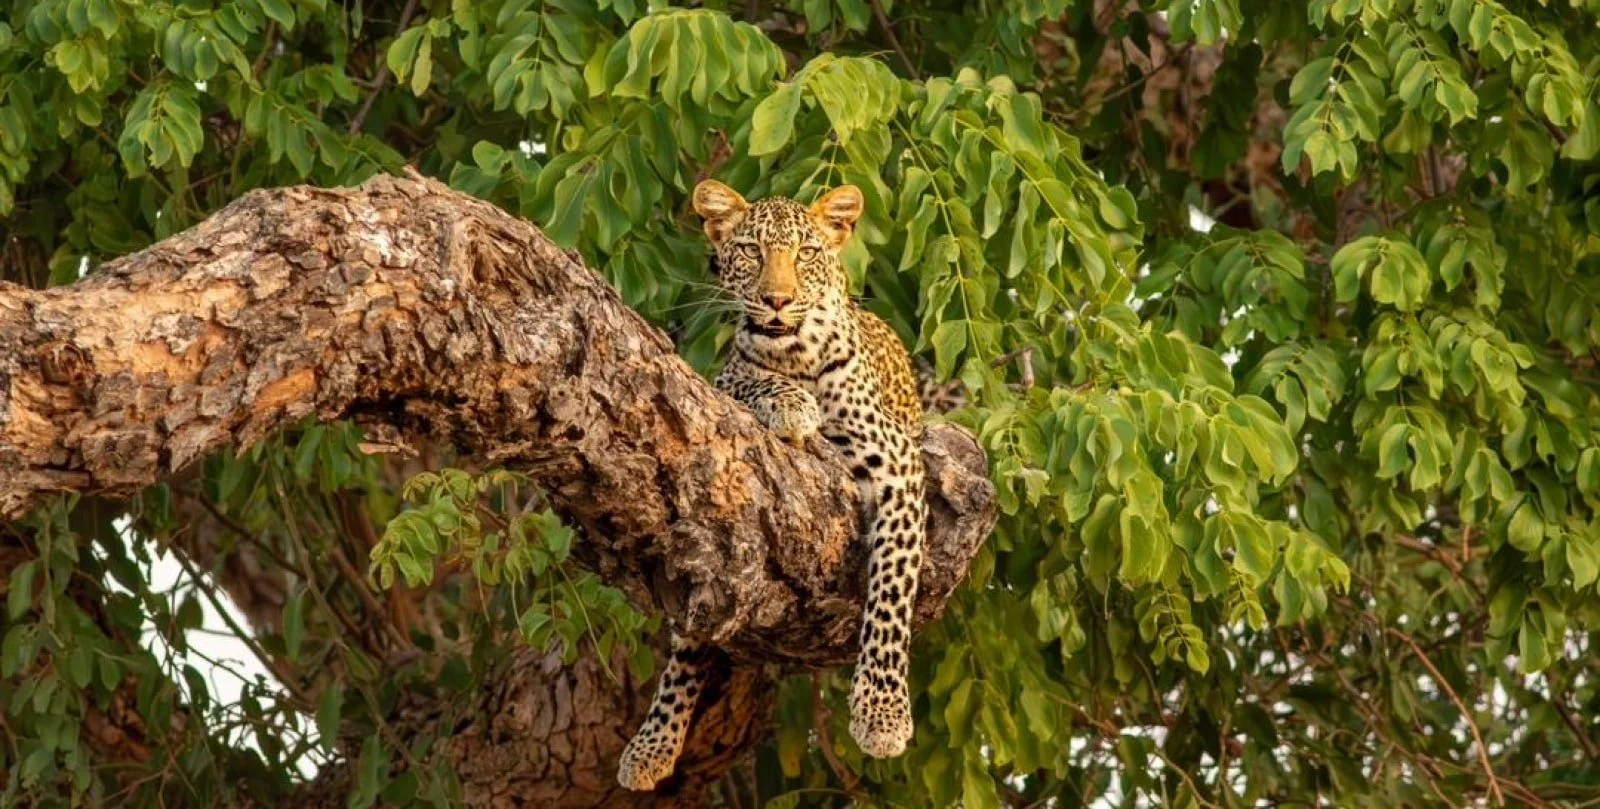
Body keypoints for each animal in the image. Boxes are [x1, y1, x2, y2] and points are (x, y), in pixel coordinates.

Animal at [616, 180, 930, 791]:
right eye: (751, 252)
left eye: (806, 253)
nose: (778, 300)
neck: (798, 355)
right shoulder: (724, 382)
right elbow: (752, 379)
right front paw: (791, 405)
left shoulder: (898, 464)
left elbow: (890, 593)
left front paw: (882, 715)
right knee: (689, 643)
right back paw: (652, 744)